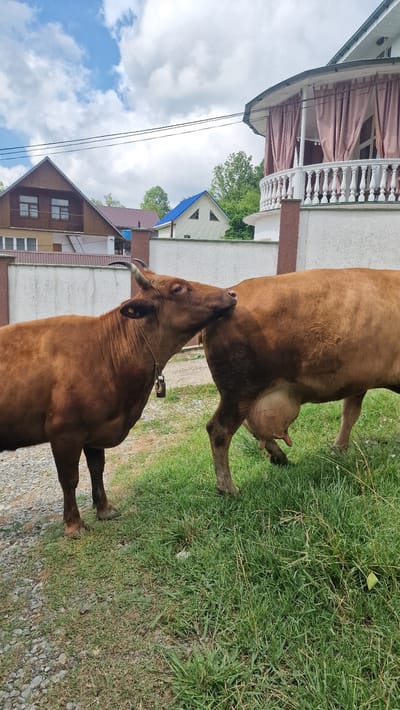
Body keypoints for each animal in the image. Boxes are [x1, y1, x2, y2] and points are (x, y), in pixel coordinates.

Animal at [0, 263, 236, 536]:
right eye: (177, 288)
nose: (231, 293)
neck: (105, 352)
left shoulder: (95, 430)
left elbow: (97, 468)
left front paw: (104, 509)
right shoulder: (64, 433)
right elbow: (69, 479)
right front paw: (74, 524)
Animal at [202, 268, 400, 495]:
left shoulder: (359, 381)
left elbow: (349, 414)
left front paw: (339, 449)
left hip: (245, 394)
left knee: (247, 424)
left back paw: (278, 456)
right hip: (240, 389)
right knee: (219, 430)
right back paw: (228, 487)